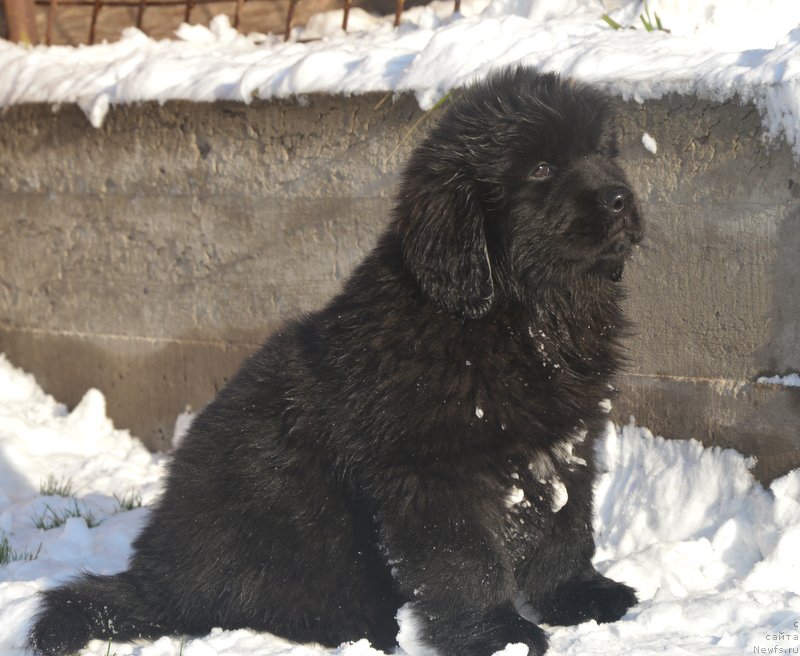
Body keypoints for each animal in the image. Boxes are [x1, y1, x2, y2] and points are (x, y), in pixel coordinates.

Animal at [28, 65, 644, 656]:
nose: (620, 197)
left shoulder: (569, 438)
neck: (526, 316)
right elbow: (466, 561)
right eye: (541, 169)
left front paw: (579, 596)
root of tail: (155, 581)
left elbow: (567, 525)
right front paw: (498, 636)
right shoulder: (432, 470)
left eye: (605, 153)